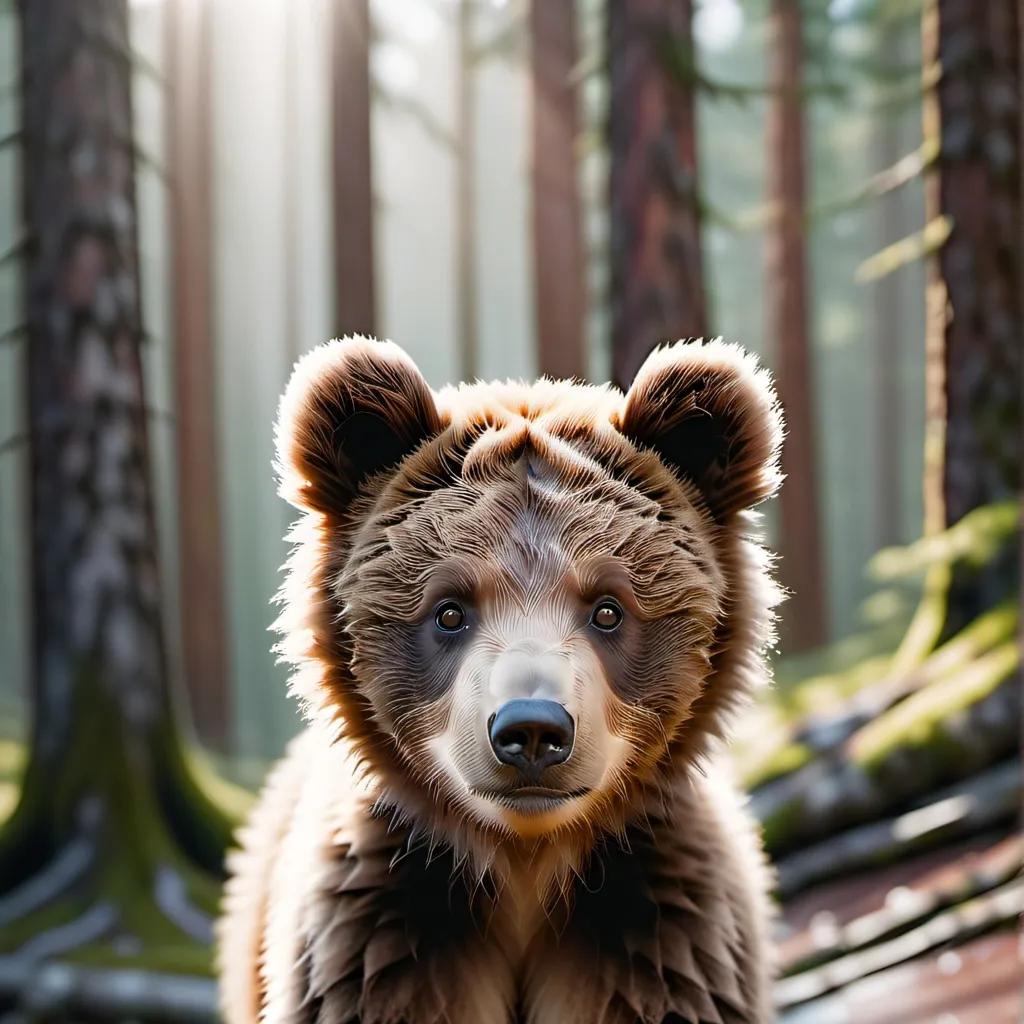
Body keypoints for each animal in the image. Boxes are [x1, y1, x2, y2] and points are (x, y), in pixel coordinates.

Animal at [216, 335, 785, 1024]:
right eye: (449, 610)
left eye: (608, 608)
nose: (533, 730)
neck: (523, 866)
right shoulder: (387, 928)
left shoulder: (651, 930)